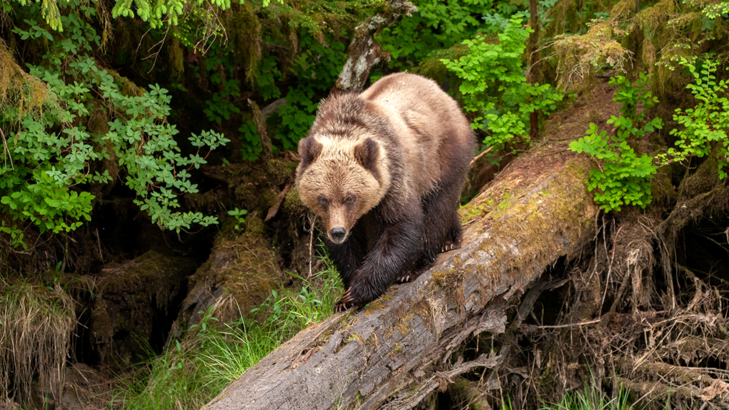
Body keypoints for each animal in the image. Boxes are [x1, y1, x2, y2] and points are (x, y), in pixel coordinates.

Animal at [298, 73, 478, 310]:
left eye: (349, 197)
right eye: (323, 199)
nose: (337, 232)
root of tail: (440, 90)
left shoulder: (393, 176)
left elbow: (400, 225)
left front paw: (359, 290)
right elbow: (346, 248)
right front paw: (344, 297)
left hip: (441, 157)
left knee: (438, 206)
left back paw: (426, 258)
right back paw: (452, 237)